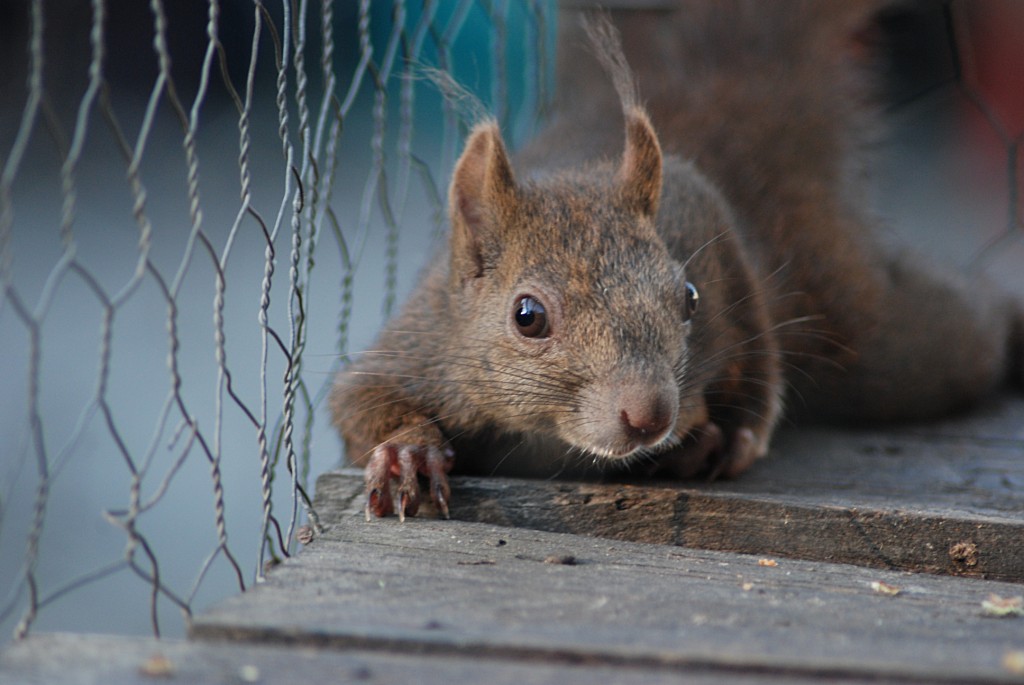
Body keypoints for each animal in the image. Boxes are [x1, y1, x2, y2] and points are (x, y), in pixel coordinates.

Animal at [331, 2, 1019, 518]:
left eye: (687, 299)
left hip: (875, 327)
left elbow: (759, 356)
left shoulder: (709, 216)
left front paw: (726, 437)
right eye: (527, 316)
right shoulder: (424, 344)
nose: (650, 415)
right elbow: (355, 400)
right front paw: (408, 453)